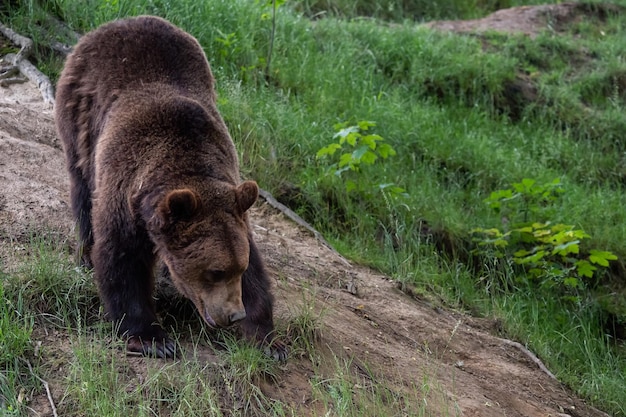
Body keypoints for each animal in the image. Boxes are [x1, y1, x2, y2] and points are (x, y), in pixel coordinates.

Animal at [54, 15, 286, 360]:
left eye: (236, 269)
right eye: (214, 272)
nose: (234, 315)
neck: (186, 164)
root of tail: (119, 22)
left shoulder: (233, 209)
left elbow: (257, 269)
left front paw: (269, 339)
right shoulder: (126, 194)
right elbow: (122, 259)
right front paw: (152, 338)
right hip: (81, 114)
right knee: (82, 190)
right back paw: (85, 255)